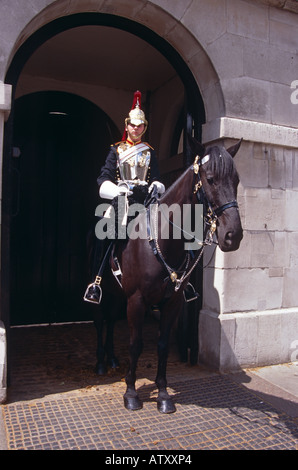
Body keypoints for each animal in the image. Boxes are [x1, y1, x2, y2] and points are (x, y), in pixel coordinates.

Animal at [89, 135, 242, 412]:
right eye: (210, 178)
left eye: (236, 180)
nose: (233, 235)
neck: (162, 239)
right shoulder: (137, 300)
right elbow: (135, 344)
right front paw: (131, 393)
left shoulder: (173, 301)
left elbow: (161, 345)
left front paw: (162, 394)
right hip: (102, 291)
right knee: (99, 320)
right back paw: (101, 362)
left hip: (118, 294)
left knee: (110, 321)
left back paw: (112, 358)